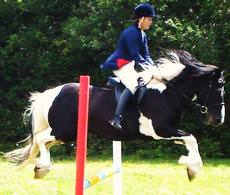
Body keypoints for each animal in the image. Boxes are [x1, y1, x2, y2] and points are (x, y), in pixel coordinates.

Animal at [4, 49, 225, 181]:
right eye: (218, 88)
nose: (218, 120)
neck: (167, 94)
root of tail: (51, 93)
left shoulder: (168, 131)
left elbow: (189, 140)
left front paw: (189, 165)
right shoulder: (160, 130)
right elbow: (192, 138)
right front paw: (193, 168)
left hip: (65, 133)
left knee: (44, 142)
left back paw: (39, 168)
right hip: (65, 131)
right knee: (41, 139)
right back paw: (42, 168)